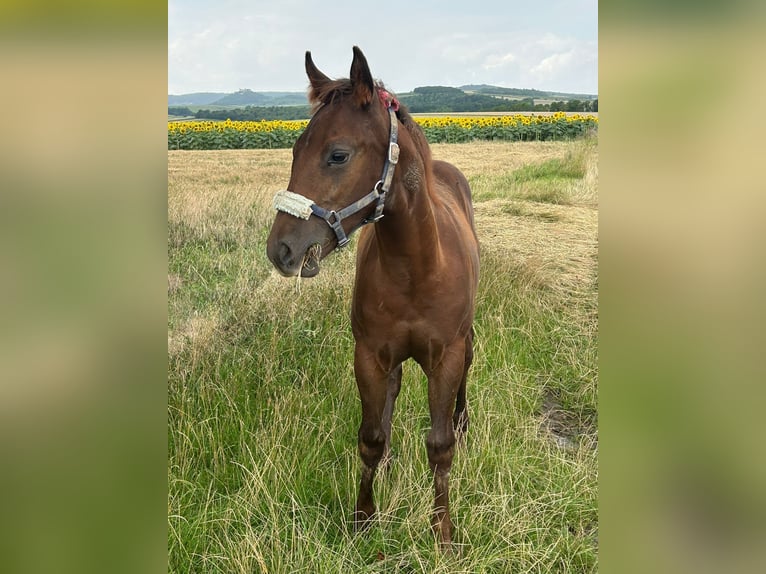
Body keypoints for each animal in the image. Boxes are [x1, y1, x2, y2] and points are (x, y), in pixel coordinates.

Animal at [266, 46, 479, 548]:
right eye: (294, 149)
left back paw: (463, 422)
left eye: (338, 154)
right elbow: (371, 437)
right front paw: (364, 520)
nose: (281, 250)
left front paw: (443, 532)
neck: (415, 269)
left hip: (464, 343)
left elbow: (440, 446)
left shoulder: (445, 356)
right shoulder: (369, 355)